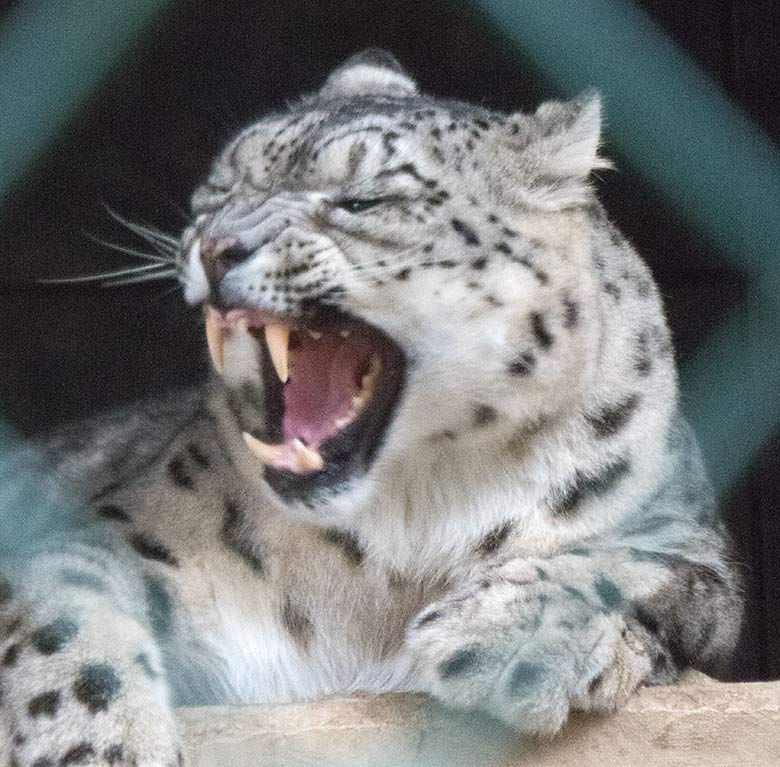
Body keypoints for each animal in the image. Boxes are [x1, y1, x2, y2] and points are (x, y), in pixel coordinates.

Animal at [0, 51, 744, 764]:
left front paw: (506, 630)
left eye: (363, 200)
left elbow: (649, 565)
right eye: (222, 189)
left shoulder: (687, 532)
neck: (398, 541)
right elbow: (62, 608)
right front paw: (96, 743)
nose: (215, 245)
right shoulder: (102, 534)